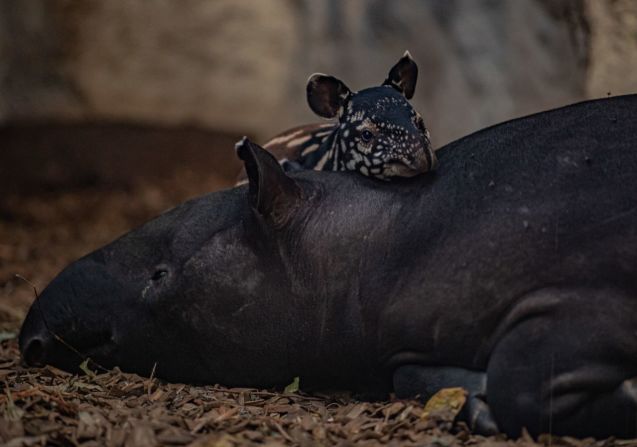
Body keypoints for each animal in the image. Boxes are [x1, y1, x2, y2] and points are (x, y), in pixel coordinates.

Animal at [17, 93, 636, 440]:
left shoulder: (590, 270)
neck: (387, 236)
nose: (32, 338)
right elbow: (413, 376)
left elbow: (521, 382)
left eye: (159, 276)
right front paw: (470, 398)